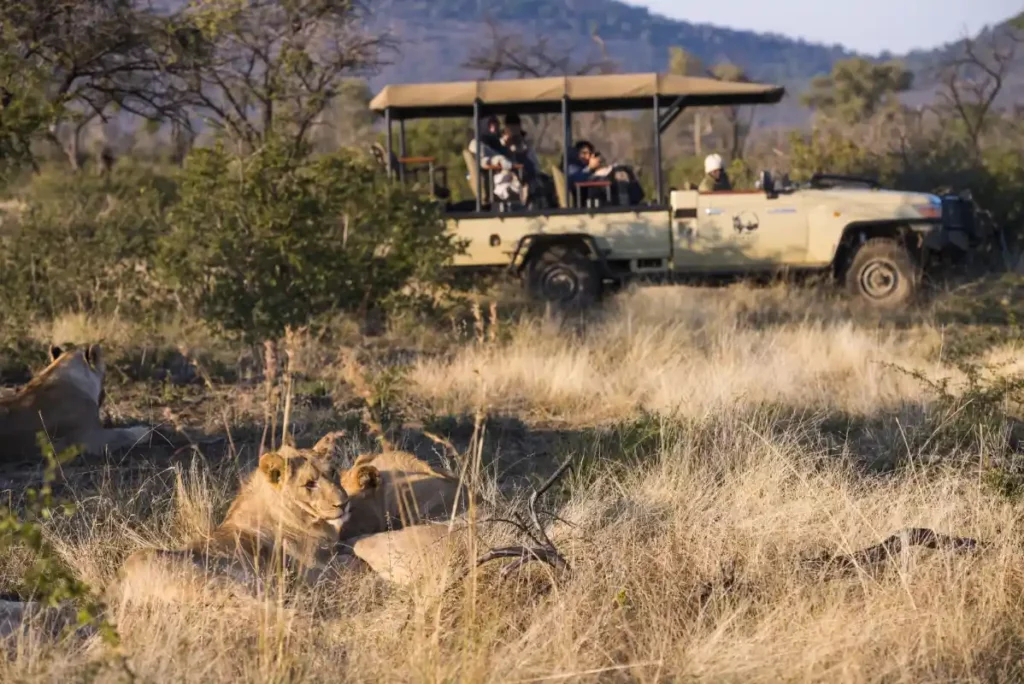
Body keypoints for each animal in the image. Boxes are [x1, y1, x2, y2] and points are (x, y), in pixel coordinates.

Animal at [119, 449, 367, 602]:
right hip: (230, 584)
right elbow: (357, 565)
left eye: (332, 472)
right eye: (309, 484)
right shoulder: (320, 572)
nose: (343, 503)